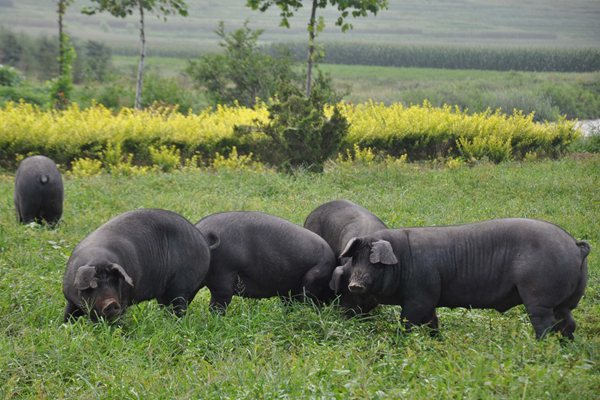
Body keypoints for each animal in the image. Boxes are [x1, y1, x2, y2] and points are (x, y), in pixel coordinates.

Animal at [63, 208, 211, 324]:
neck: (98, 258)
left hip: (182, 286)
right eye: (94, 285)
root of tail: (203, 241)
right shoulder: (71, 298)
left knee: (179, 306)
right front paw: (65, 326)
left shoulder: (123, 299)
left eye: (114, 282)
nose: (111, 303)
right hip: (164, 292)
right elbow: (69, 313)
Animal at [342, 217, 592, 340]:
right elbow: (433, 322)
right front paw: (437, 342)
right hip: (566, 301)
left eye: (374, 262)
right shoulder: (429, 299)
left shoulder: (419, 297)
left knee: (545, 324)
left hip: (539, 296)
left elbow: (408, 322)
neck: (404, 259)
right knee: (568, 322)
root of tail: (576, 246)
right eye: (355, 259)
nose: (354, 284)